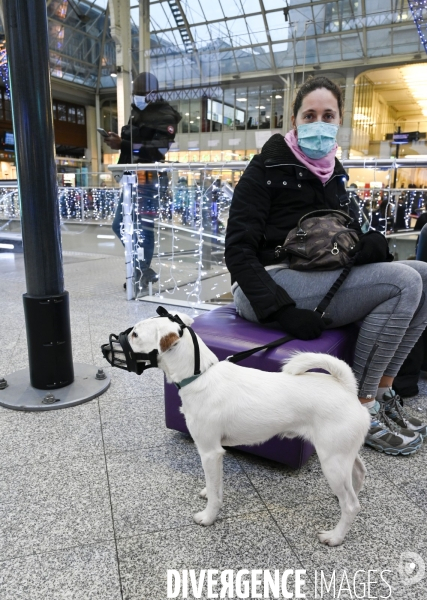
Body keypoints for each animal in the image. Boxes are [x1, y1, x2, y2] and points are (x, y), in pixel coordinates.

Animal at [118, 312, 370, 548]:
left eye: (135, 334)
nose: (112, 340)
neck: (199, 375)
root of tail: (347, 388)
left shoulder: (209, 452)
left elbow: (215, 495)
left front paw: (208, 517)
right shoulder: (216, 454)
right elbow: (215, 485)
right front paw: (209, 491)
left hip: (332, 461)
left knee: (351, 506)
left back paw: (336, 536)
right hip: (343, 454)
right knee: (358, 473)